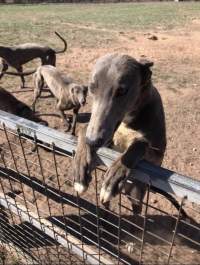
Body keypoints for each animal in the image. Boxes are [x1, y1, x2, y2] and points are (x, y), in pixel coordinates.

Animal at [72, 52, 166, 213]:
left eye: (122, 90)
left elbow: (140, 144)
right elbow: (83, 128)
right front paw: (80, 167)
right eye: (91, 88)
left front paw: (114, 177)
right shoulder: (107, 140)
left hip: (136, 193)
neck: (128, 121)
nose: (93, 141)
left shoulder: (157, 157)